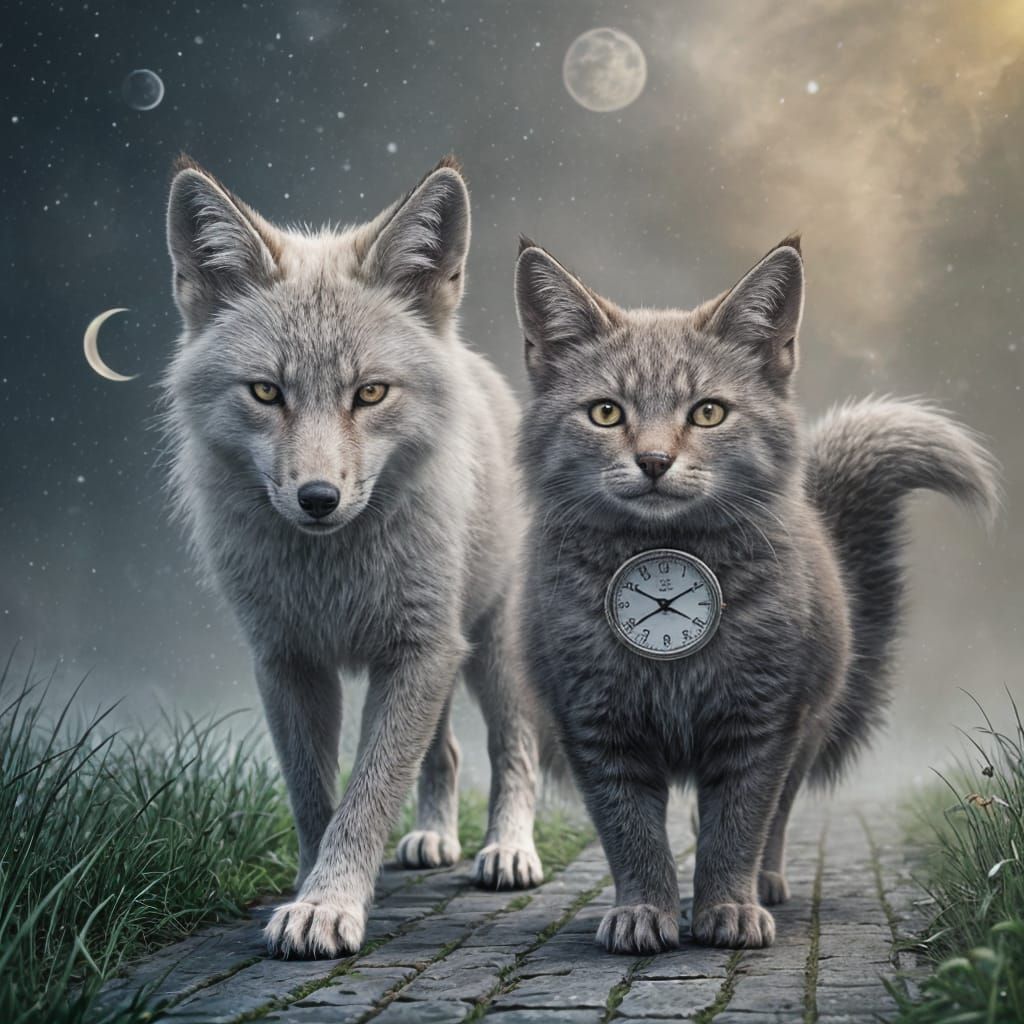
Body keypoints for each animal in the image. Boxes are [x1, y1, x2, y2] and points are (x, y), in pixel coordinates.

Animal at [162, 155, 543, 960]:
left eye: (369, 393)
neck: (331, 575)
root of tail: (478, 366)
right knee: (445, 755)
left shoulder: (419, 651)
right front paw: (312, 889)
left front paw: (329, 903)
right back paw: (434, 838)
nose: (317, 498)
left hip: (489, 649)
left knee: (511, 751)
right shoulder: (288, 660)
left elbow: (366, 795)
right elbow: (315, 797)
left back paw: (507, 850)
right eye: (266, 392)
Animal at [512, 235, 998, 954]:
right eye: (606, 412)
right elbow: (630, 832)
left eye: (708, 412)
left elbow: (738, 825)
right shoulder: (594, 722)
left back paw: (764, 885)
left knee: (774, 816)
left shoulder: (761, 720)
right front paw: (643, 910)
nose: (653, 461)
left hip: (807, 723)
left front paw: (728, 909)